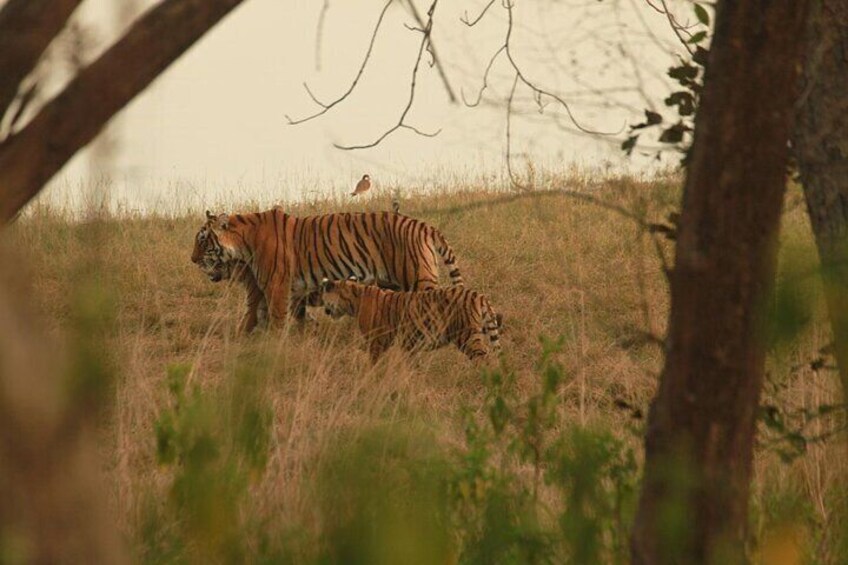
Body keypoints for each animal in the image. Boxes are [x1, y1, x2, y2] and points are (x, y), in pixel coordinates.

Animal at [191, 207, 464, 330]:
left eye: (202, 240)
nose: (192, 259)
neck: (243, 241)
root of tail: (424, 225)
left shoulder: (276, 287)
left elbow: (274, 320)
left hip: (419, 279)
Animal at [314, 278, 500, 362]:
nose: (325, 310)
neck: (354, 298)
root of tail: (479, 295)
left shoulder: (376, 341)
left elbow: (373, 361)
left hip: (467, 336)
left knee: (484, 359)